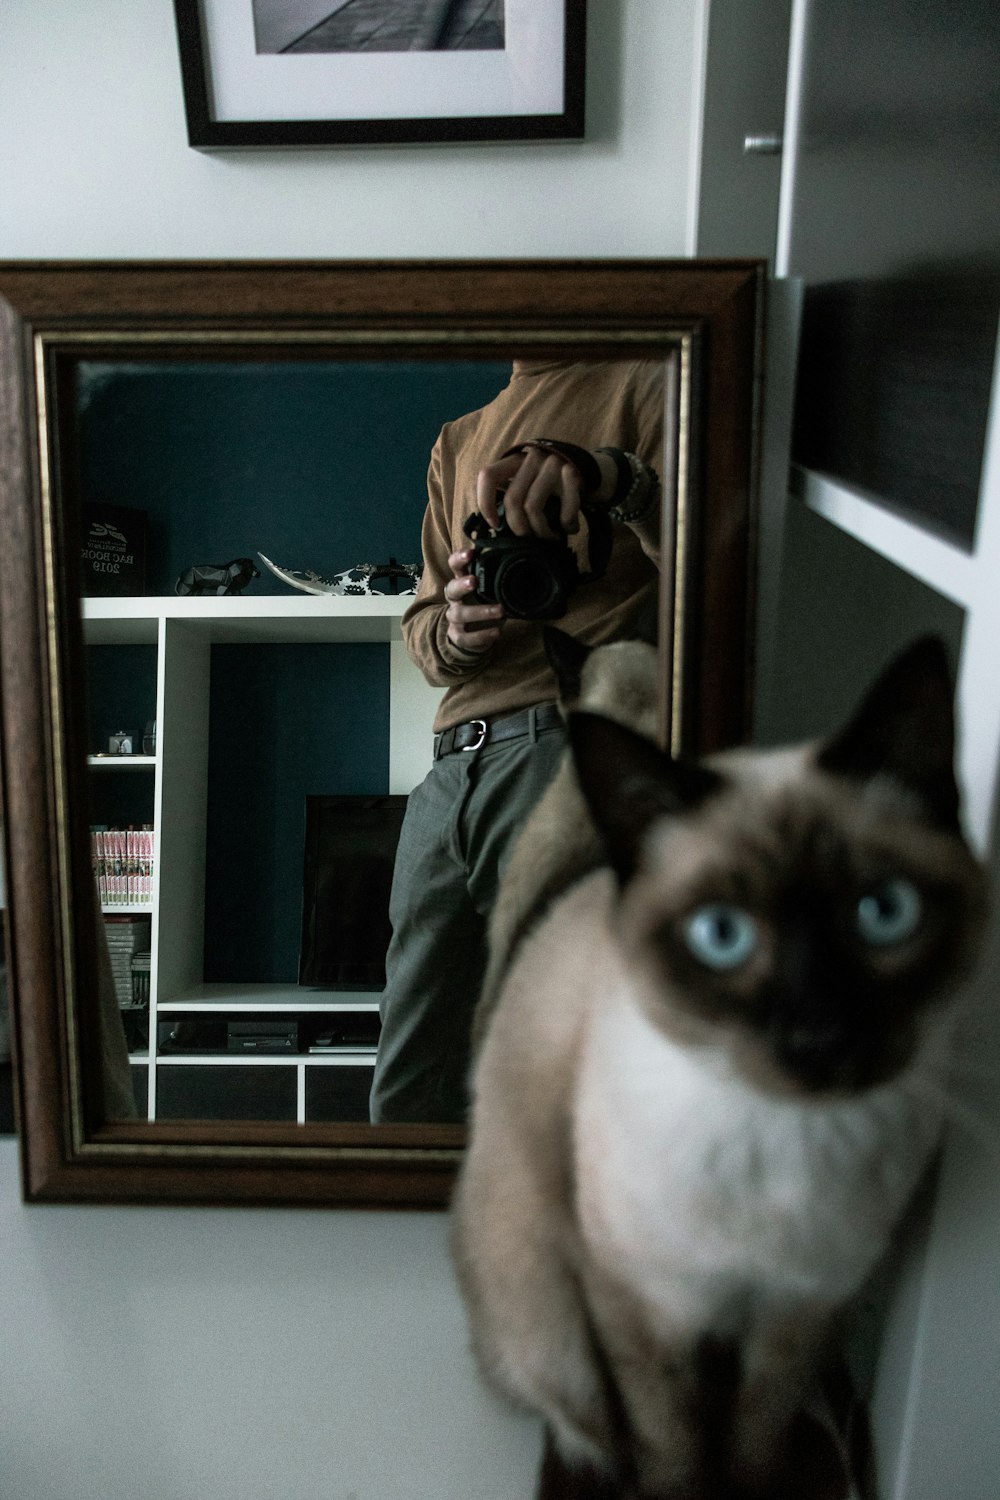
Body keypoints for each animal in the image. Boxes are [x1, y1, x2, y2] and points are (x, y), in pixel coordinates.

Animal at [455, 639, 995, 1494]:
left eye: (885, 913)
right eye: (721, 935)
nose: (820, 1036)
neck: (785, 1138)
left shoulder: (798, 1313)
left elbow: (751, 1443)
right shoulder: (645, 1309)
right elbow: (671, 1449)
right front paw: (672, 1480)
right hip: (546, 1311)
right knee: (585, 1424)